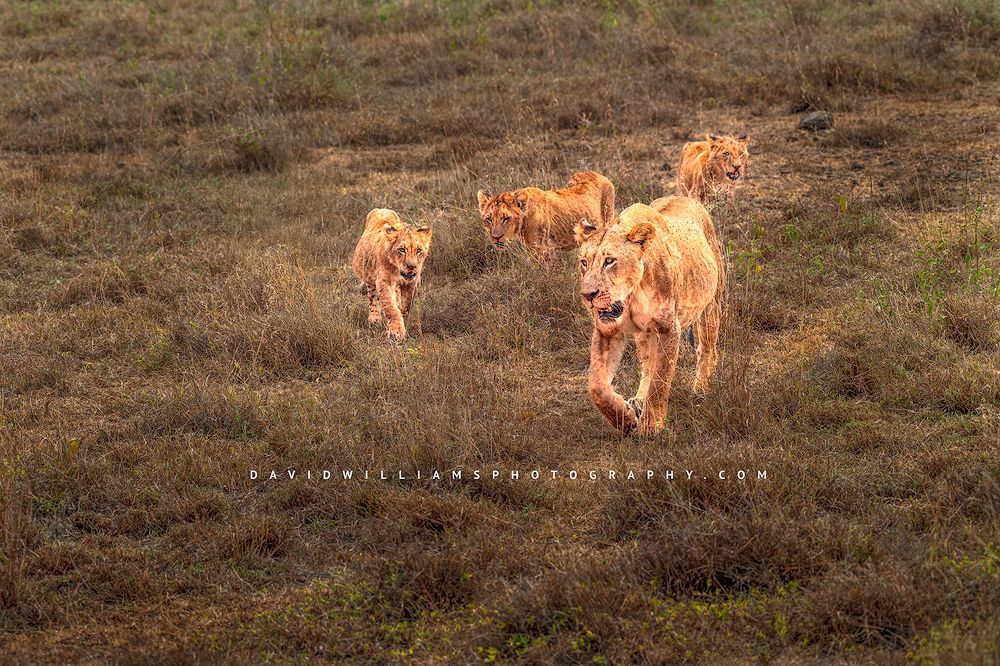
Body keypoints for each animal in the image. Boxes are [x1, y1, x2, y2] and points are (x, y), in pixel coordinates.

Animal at [351, 208, 432, 342]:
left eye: (418, 250)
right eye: (402, 250)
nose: (411, 266)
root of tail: (382, 209)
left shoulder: (412, 282)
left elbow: (406, 304)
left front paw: (403, 319)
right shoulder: (385, 281)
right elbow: (391, 307)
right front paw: (396, 331)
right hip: (369, 276)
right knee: (372, 297)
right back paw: (374, 319)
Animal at [576, 196, 724, 436]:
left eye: (609, 261)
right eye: (584, 262)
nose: (588, 295)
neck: (631, 295)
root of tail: (686, 198)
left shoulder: (668, 327)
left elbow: (660, 379)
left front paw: (651, 426)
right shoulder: (606, 330)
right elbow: (596, 386)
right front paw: (625, 419)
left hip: (711, 305)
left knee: (707, 349)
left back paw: (700, 388)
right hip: (645, 334)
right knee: (647, 365)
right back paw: (638, 401)